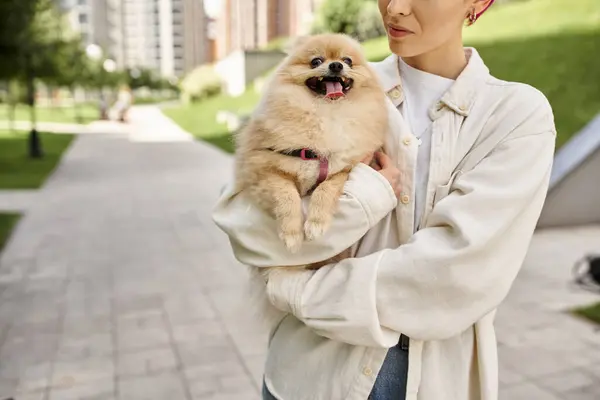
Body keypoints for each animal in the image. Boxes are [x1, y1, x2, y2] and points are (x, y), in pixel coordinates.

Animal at [232, 32, 386, 264]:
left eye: (348, 60)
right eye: (316, 61)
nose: (336, 65)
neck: (326, 112)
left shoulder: (344, 169)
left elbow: (325, 189)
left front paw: (316, 224)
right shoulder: (263, 169)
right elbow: (286, 196)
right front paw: (292, 235)